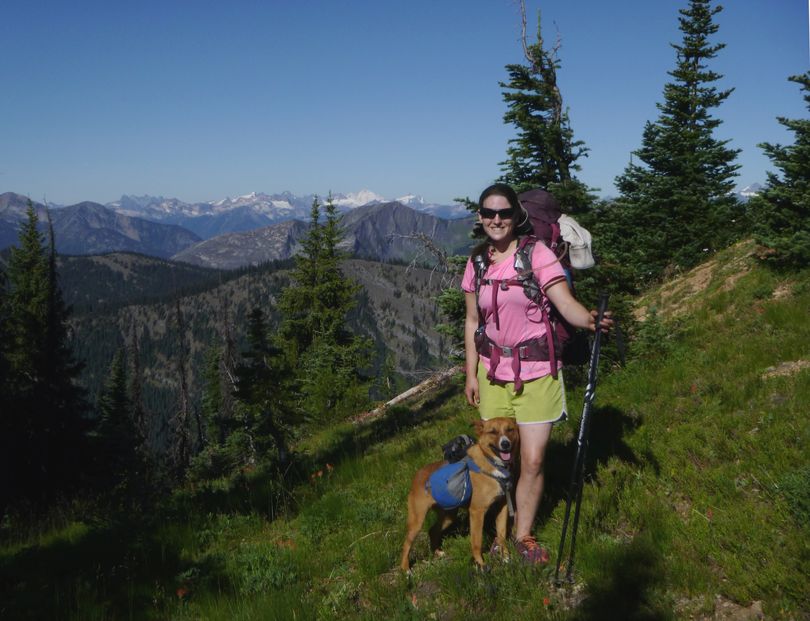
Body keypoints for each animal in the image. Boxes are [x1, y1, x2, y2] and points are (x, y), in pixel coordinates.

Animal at [398, 416, 516, 572]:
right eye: (492, 432)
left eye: (510, 429)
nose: (505, 444)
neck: (492, 463)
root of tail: (418, 474)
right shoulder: (477, 512)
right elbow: (476, 541)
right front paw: (481, 565)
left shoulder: (502, 507)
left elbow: (501, 536)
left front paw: (506, 558)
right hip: (417, 521)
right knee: (406, 544)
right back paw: (406, 569)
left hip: (449, 515)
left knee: (432, 531)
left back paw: (437, 552)